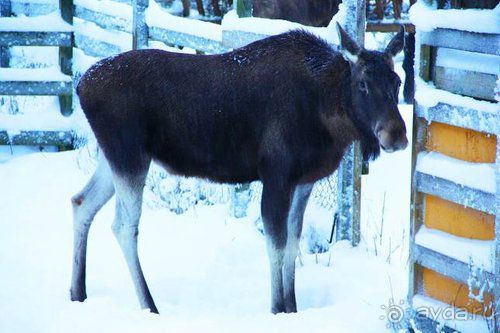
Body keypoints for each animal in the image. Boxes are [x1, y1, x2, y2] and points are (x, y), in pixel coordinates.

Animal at [71, 24, 406, 312]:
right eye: (362, 83)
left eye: (398, 81)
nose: (397, 135)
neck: (327, 115)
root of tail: (80, 86)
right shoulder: (276, 175)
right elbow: (277, 245)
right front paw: (277, 309)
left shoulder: (304, 181)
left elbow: (293, 243)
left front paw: (293, 308)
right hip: (129, 155)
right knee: (124, 225)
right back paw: (148, 305)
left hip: (112, 157)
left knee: (81, 201)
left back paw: (78, 292)